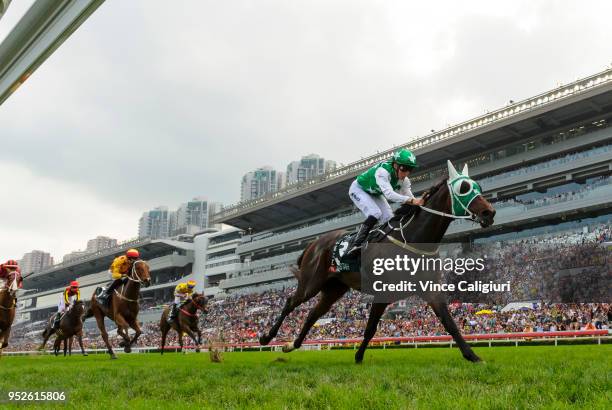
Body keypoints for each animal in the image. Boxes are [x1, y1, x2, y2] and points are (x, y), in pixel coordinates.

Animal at [260, 162, 498, 364]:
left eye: (478, 186)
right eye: (464, 188)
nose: (490, 212)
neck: (412, 239)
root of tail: (314, 243)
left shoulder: (429, 290)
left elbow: (449, 322)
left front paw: (472, 356)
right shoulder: (383, 292)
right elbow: (371, 328)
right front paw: (358, 357)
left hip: (334, 288)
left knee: (312, 314)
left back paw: (291, 345)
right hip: (311, 282)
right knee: (291, 302)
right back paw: (266, 338)